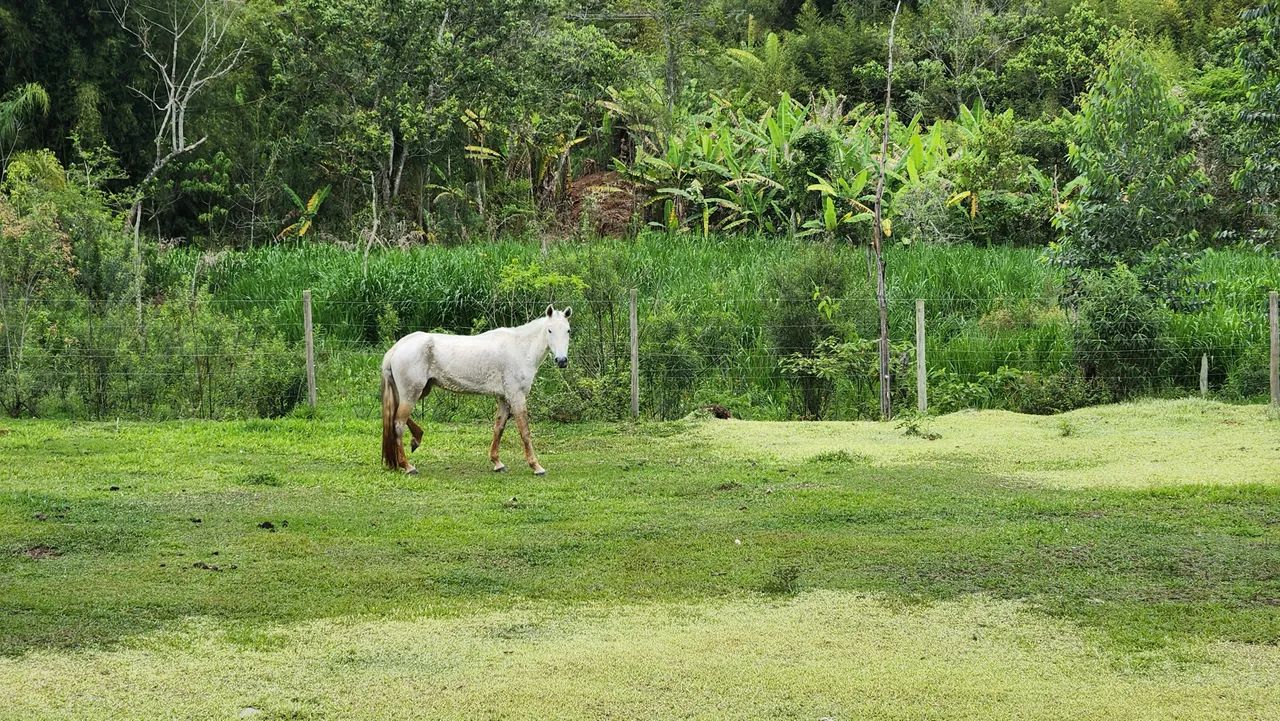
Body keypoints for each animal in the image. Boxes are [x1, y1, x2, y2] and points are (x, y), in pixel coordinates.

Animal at [380, 304, 572, 475]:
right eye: (550, 330)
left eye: (568, 331)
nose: (562, 360)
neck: (520, 348)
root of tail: (396, 348)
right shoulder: (517, 396)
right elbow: (524, 431)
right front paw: (536, 466)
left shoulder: (504, 398)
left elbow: (499, 427)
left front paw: (497, 462)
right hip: (411, 394)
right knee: (398, 424)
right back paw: (407, 466)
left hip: (415, 392)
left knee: (395, 417)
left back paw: (416, 440)